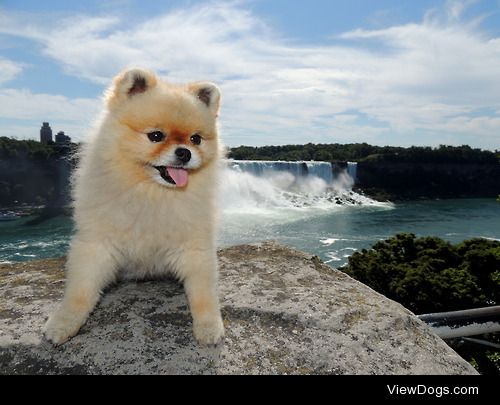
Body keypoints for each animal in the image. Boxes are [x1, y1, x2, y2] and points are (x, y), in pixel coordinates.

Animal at [44, 67, 224, 344]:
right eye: (156, 136)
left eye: (196, 139)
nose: (185, 152)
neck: (152, 193)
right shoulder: (98, 244)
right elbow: (81, 289)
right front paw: (65, 321)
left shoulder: (194, 245)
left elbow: (203, 291)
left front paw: (208, 325)